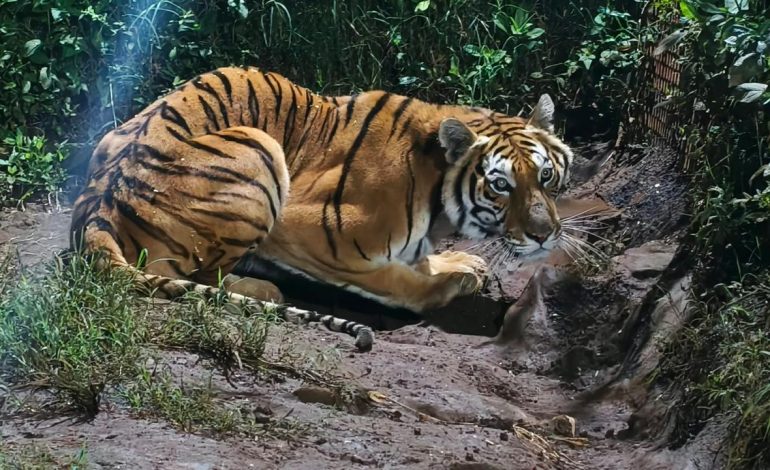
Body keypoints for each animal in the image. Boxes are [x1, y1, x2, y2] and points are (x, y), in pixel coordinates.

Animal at [70, 66, 573, 352]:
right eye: (501, 185)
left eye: (546, 175)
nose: (544, 234)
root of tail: (96, 213)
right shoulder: (308, 228)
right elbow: (391, 280)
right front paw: (451, 281)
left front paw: (459, 261)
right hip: (259, 147)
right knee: (188, 273)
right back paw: (262, 287)